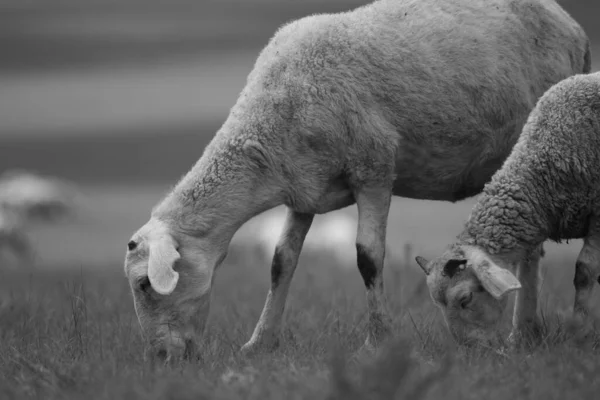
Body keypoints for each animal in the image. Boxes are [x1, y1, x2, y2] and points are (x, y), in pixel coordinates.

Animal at [414, 72, 600, 350]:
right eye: (437, 304)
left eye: (465, 298)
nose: (471, 352)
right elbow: (527, 273)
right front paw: (522, 337)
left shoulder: (599, 215)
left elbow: (585, 271)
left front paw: (581, 335)